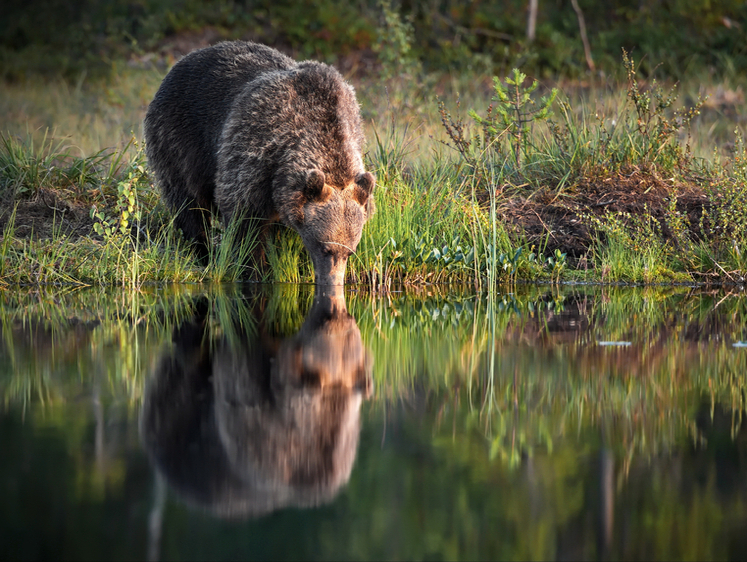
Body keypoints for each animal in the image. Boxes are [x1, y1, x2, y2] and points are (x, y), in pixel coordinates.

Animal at [142, 41, 374, 284]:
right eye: (324, 247)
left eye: (350, 252)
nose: (332, 282)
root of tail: (185, 59)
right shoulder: (255, 149)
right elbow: (244, 219)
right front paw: (254, 269)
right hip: (179, 140)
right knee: (188, 203)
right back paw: (202, 251)